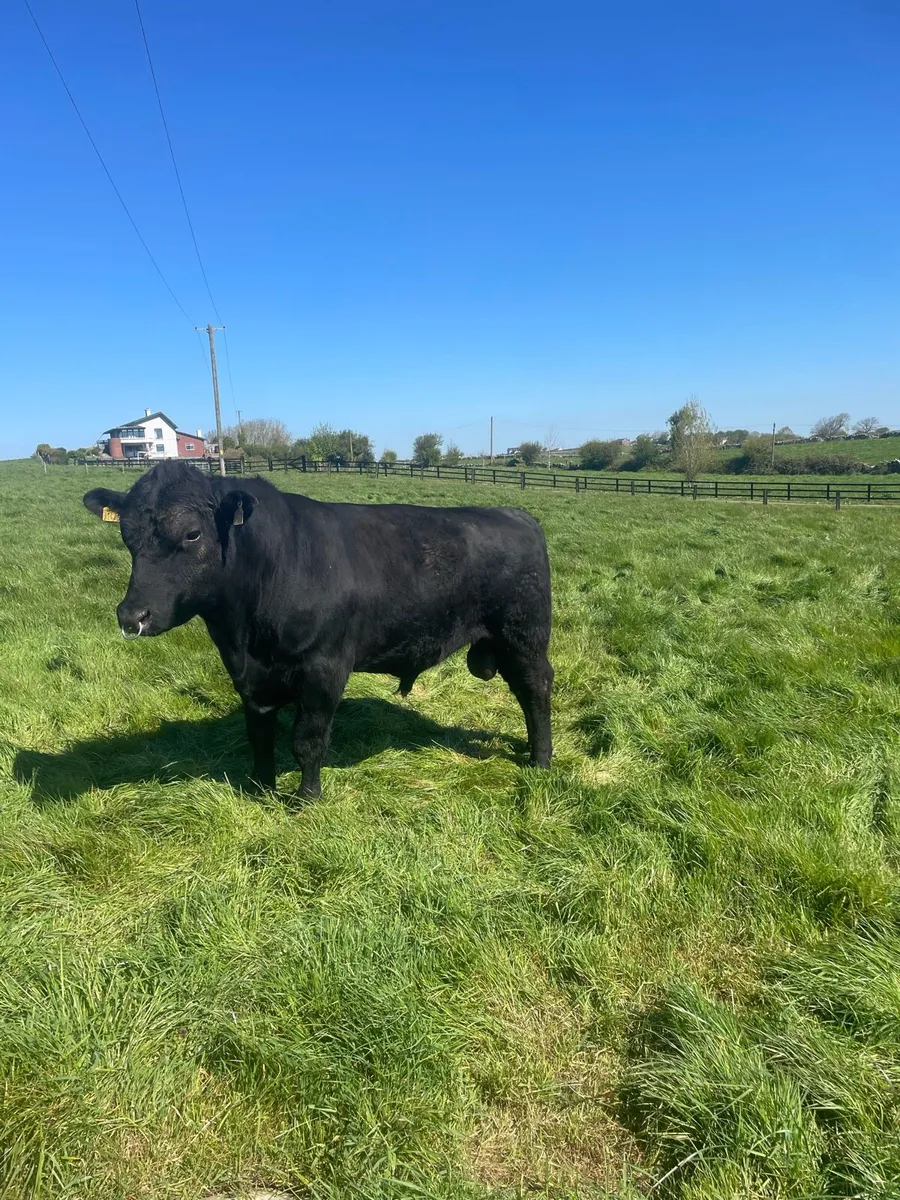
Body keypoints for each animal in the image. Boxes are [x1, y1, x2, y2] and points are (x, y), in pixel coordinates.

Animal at [83, 461, 553, 798]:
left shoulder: (325, 667)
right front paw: (260, 789)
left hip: (524, 636)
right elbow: (260, 735)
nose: (132, 616)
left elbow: (307, 740)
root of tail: (516, 514)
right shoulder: (250, 677)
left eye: (192, 534)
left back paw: (541, 759)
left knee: (535, 689)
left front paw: (306, 798)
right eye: (126, 534)